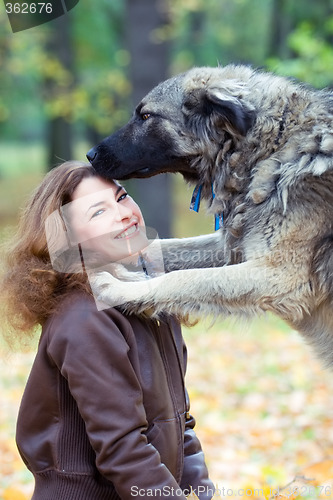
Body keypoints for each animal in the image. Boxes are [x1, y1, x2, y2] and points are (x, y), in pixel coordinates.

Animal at [87, 64, 332, 366]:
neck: (270, 150)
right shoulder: (232, 246)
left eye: (145, 116)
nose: (89, 155)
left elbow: (182, 279)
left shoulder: (279, 276)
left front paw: (118, 290)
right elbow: (158, 249)